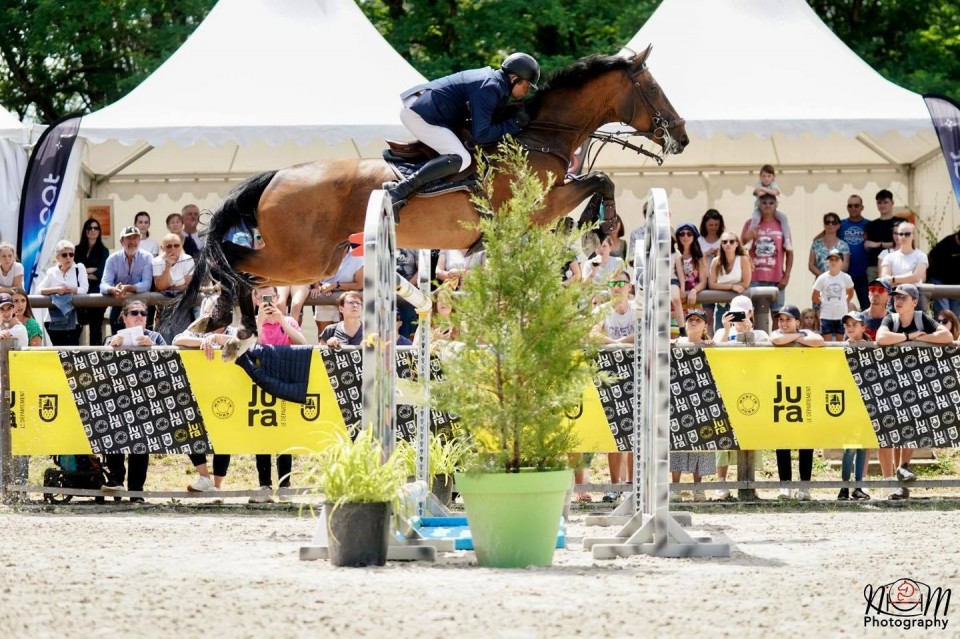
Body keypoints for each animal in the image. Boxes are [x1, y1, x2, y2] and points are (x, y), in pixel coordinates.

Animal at [171, 47, 684, 340]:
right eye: (653, 89)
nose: (681, 137)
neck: (538, 136)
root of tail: (277, 175)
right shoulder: (538, 206)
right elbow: (599, 181)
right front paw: (603, 220)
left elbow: (597, 180)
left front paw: (594, 223)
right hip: (302, 257)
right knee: (231, 262)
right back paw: (233, 324)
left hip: (320, 261)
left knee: (240, 269)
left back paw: (229, 323)